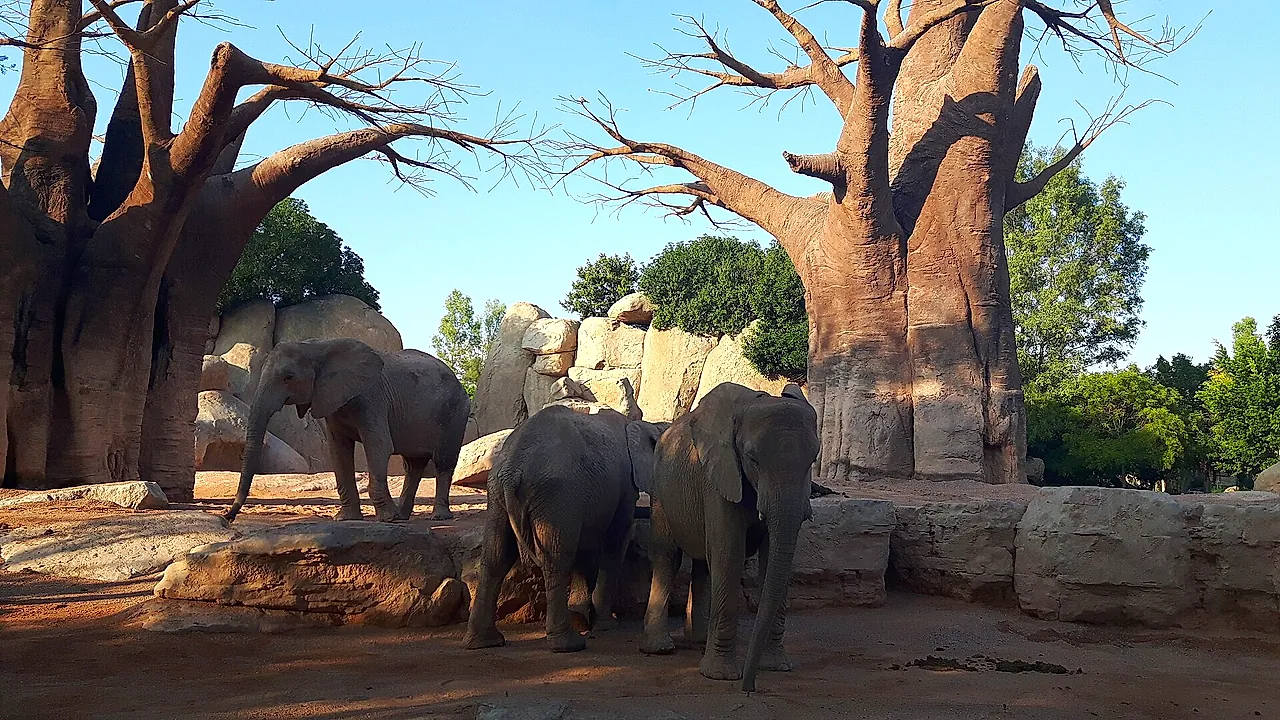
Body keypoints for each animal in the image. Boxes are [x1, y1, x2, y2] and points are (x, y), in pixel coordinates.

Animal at [223, 337, 470, 523]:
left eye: (288, 377)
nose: (227, 517)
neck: (318, 346)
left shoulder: (371, 398)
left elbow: (379, 446)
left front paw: (386, 519)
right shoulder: (331, 401)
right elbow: (338, 450)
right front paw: (346, 519)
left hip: (455, 413)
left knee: (443, 461)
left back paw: (438, 517)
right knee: (413, 466)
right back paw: (402, 516)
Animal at [464, 404, 667, 653]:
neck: (647, 425)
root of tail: (513, 468)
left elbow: (583, 545)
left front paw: (582, 617)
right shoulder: (623, 489)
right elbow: (615, 541)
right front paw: (606, 625)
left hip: (499, 492)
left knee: (495, 557)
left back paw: (484, 642)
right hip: (556, 492)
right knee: (555, 559)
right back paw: (569, 644)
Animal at [640, 381, 818, 693]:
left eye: (812, 461)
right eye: (753, 459)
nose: (750, 688)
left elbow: (772, 559)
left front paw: (777, 667)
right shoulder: (720, 475)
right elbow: (729, 552)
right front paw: (720, 676)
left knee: (703, 562)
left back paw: (698, 639)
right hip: (659, 488)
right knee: (668, 556)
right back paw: (661, 649)